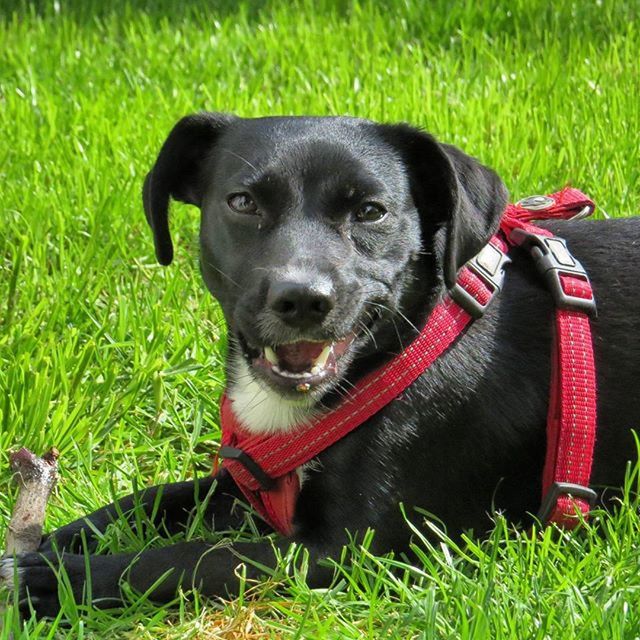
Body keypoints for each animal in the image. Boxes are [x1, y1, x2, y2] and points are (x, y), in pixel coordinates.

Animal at [1, 114, 640, 616]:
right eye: (243, 202)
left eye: (372, 211)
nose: (303, 299)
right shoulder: (247, 476)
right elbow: (151, 499)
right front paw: (55, 543)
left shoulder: (348, 549)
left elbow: (202, 557)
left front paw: (61, 580)